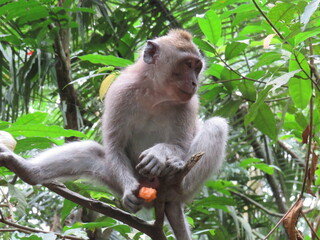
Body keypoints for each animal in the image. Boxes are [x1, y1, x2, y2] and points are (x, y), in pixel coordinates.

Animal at [0, 29, 228, 239]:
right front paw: (129, 191)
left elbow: (180, 145)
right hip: (120, 179)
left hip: (185, 187)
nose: (194, 83)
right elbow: (115, 147)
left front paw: (159, 154)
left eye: (197, 67)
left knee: (216, 126)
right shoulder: (120, 93)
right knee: (90, 151)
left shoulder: (188, 104)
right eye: (187, 65)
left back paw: (175, 172)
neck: (155, 94)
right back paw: (26, 170)